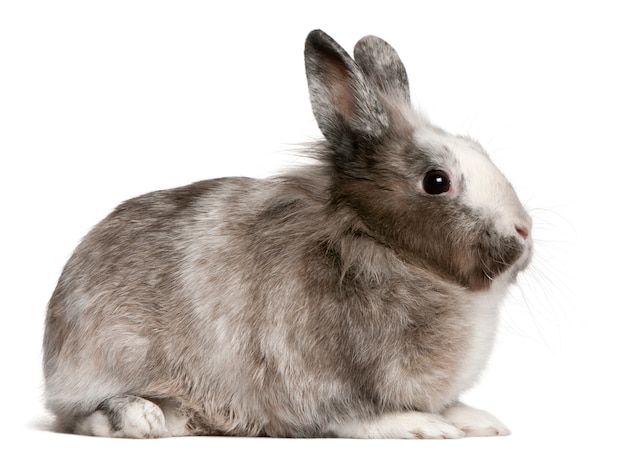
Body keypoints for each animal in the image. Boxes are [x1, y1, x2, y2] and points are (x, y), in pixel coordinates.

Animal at [42, 29, 532, 438]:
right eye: (436, 181)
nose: (524, 229)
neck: (373, 240)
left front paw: (478, 420)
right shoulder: (317, 379)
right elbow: (355, 416)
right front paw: (423, 426)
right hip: (111, 356)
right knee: (82, 415)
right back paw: (142, 418)